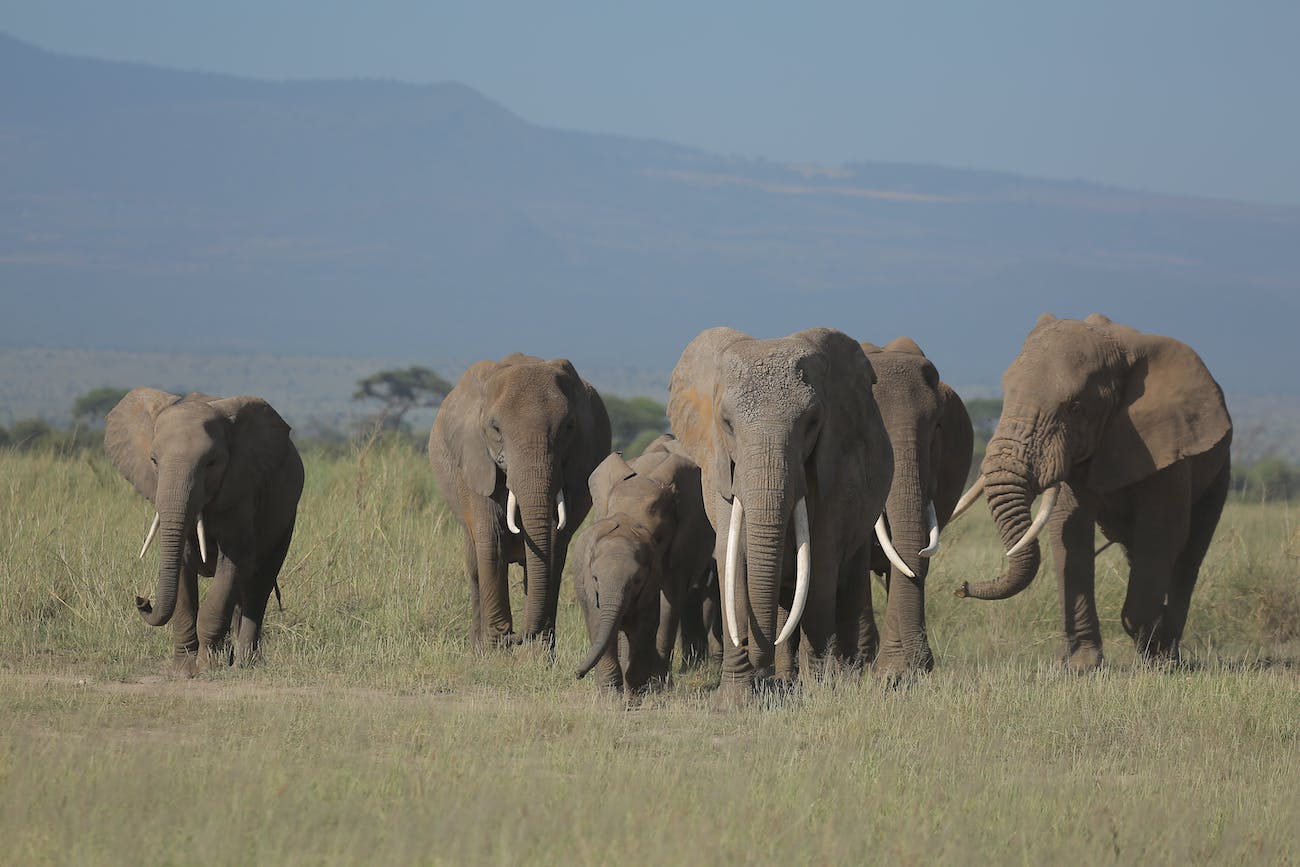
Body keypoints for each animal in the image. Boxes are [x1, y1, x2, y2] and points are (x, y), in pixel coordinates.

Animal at [104, 387, 304, 675]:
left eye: (211, 463)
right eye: (153, 461)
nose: (142, 600)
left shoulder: (241, 492)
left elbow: (234, 563)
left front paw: (208, 666)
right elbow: (182, 573)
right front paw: (184, 669)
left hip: (286, 517)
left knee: (259, 586)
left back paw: (243, 664)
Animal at [426, 353, 608, 649]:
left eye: (568, 427)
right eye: (495, 428)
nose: (516, 636)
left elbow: (552, 547)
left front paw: (535, 653)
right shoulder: (475, 462)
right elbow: (491, 541)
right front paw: (495, 646)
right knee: (475, 566)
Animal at [577, 436, 722, 696]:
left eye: (658, 538)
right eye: (613, 521)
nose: (578, 674)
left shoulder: (685, 538)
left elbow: (668, 600)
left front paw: (657, 683)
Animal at [670, 324, 894, 696]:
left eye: (812, 422)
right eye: (727, 423)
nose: (759, 665)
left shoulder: (834, 473)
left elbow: (820, 567)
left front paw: (818, 692)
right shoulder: (720, 470)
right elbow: (733, 563)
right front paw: (737, 697)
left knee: (848, 586)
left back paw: (839, 677)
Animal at [951, 315, 1232, 675]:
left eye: (1074, 407)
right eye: (1005, 393)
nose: (961, 587)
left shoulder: (1169, 444)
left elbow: (1162, 532)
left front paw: (1153, 655)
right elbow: (1069, 531)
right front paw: (1081, 666)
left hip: (1219, 466)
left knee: (1189, 551)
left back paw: (1167, 653)